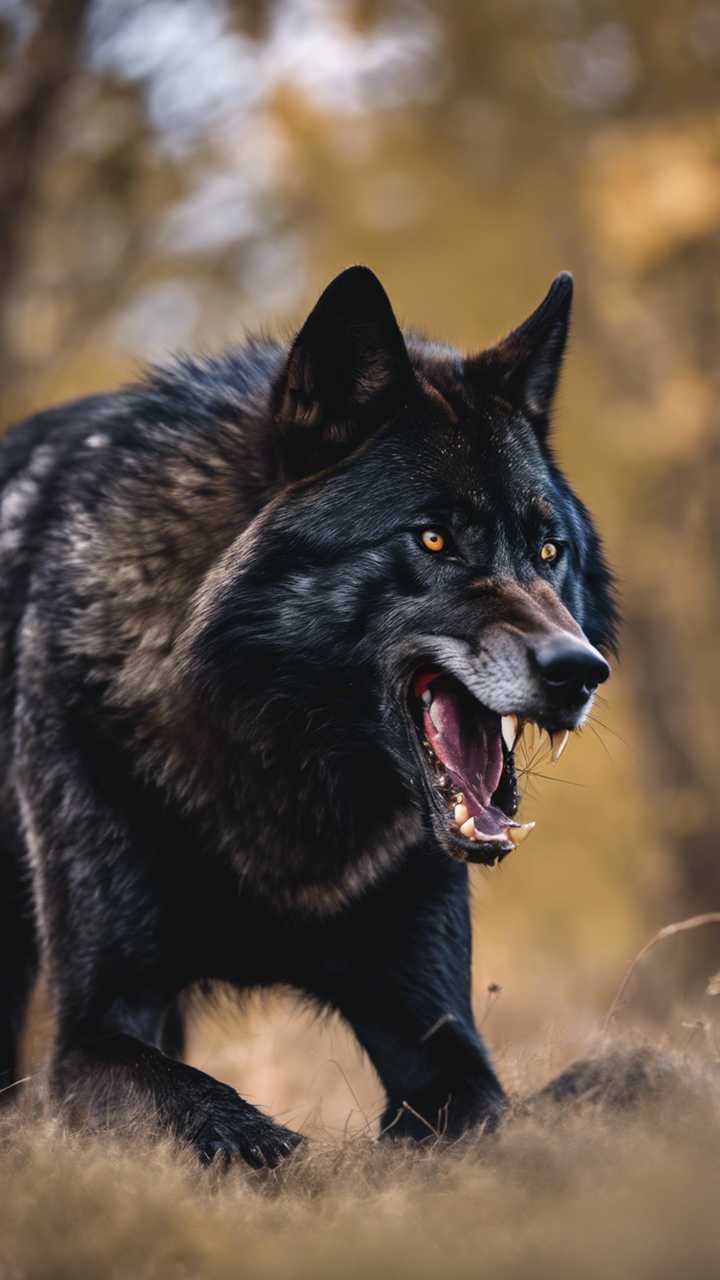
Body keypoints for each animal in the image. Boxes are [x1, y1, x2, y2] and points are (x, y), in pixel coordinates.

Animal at [0, 266, 615, 1164]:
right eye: (433, 540)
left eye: (548, 550)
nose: (579, 671)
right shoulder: (94, 1027)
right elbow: (220, 1120)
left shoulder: (433, 1025)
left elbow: (474, 1109)